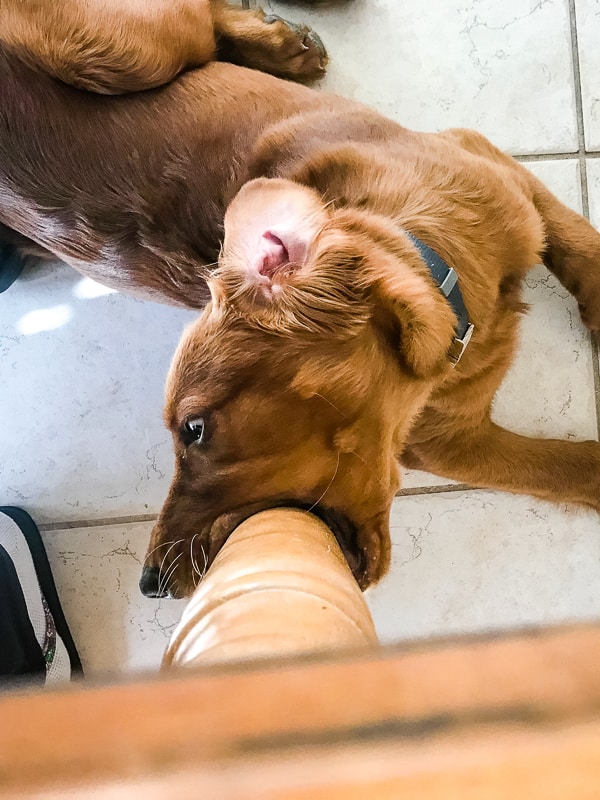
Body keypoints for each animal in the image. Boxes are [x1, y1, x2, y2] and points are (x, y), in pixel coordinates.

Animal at [1, 0, 600, 596]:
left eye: (194, 429)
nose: (151, 583)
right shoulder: (446, 442)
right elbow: (569, 468)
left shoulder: (501, 169)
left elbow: (580, 245)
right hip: (123, 48)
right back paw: (279, 43)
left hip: (134, 53)